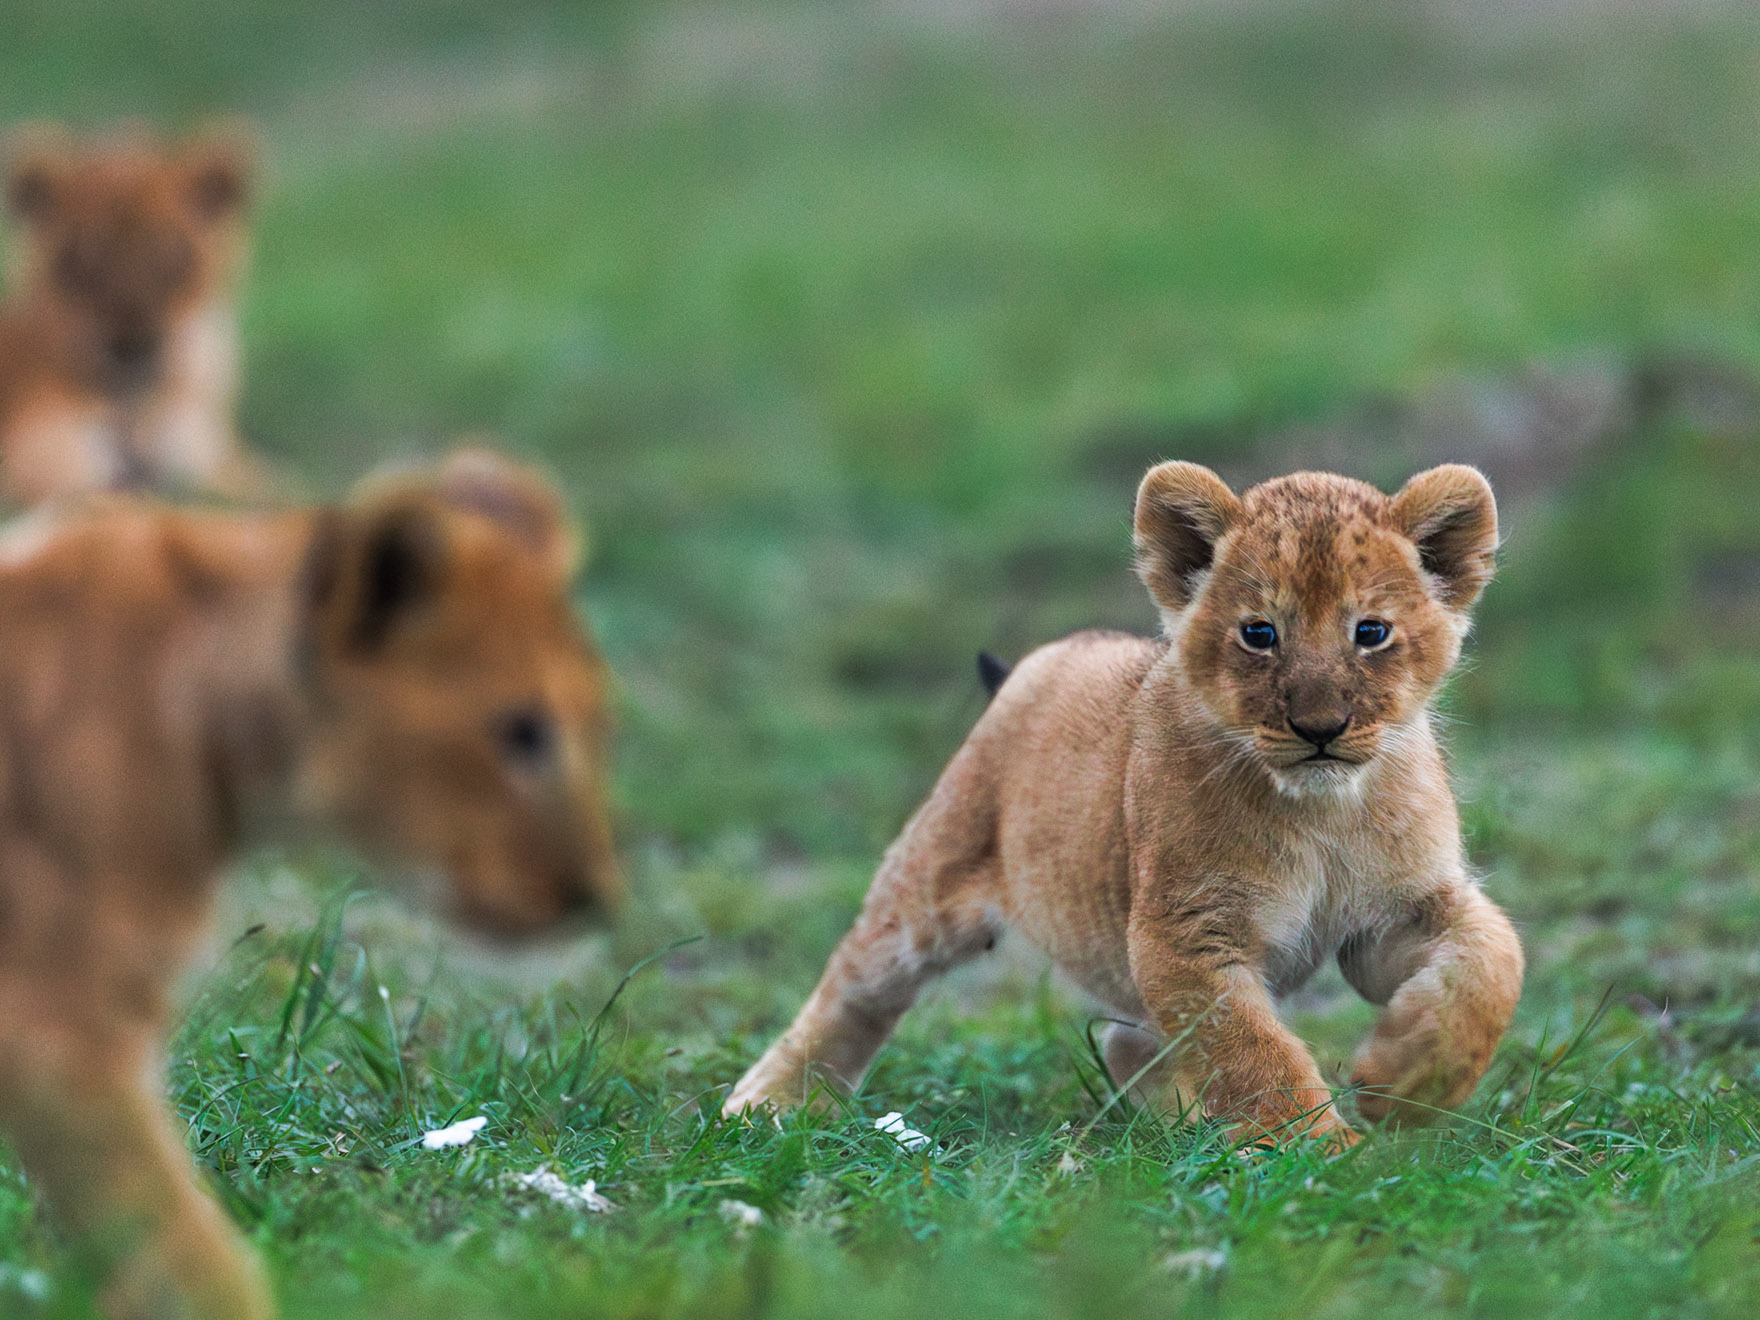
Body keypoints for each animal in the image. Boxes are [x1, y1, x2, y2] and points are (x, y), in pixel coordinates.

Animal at [0, 123, 264, 505]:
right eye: (86, 259)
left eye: (169, 254)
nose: (131, 348)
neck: (137, 411)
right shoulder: (39, 449)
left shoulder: (202, 453)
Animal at [726, 462, 1523, 1150]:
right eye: (1259, 633)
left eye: (1371, 632)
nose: (1320, 728)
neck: (1324, 811)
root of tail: (1046, 657)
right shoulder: (1186, 934)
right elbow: (1252, 1051)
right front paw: (1319, 1154)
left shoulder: (1394, 916)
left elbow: (1493, 960)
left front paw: (1405, 1084)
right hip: (928, 882)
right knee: (852, 989)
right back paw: (768, 1104)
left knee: (1125, 1037)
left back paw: (1181, 1127)